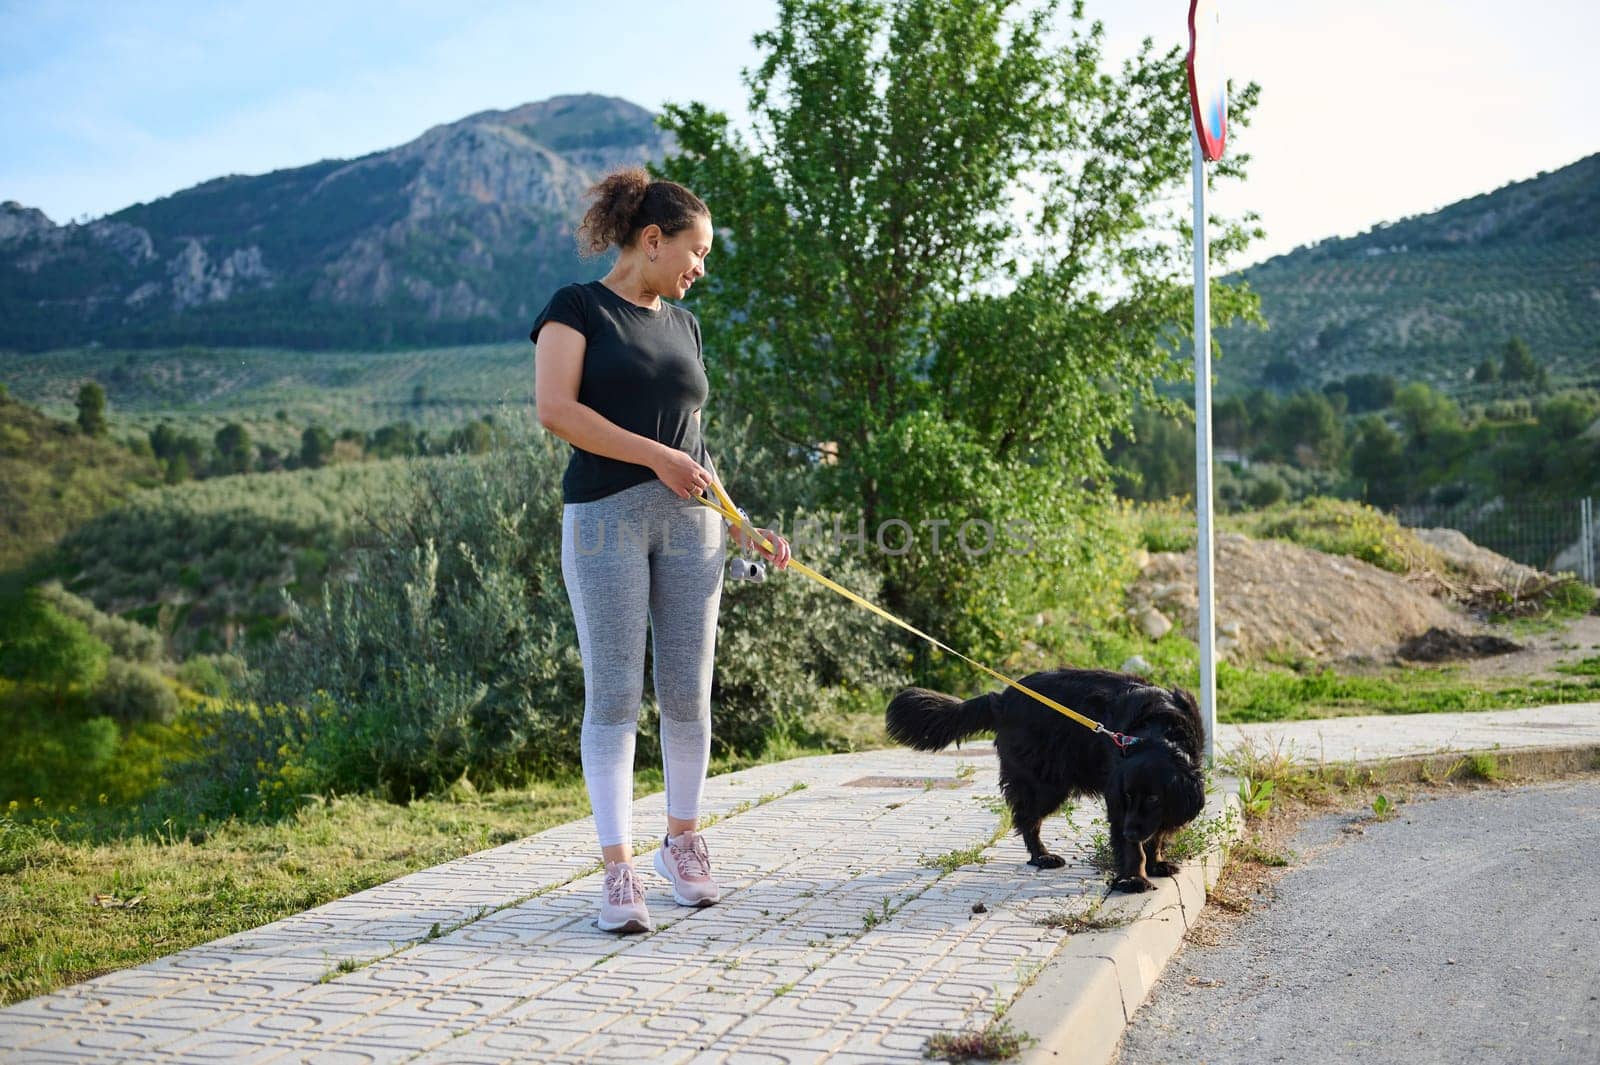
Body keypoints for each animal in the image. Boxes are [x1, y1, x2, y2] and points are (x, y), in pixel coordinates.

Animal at [889, 668, 1203, 889]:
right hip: (1045, 784)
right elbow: (1133, 847)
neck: (1159, 731)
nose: (1129, 832)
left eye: (1154, 798)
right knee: (1027, 820)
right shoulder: (1117, 798)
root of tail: (1002, 698)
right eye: (1128, 796)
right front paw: (1134, 879)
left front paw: (1156, 863)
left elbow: (1156, 834)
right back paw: (1041, 856)